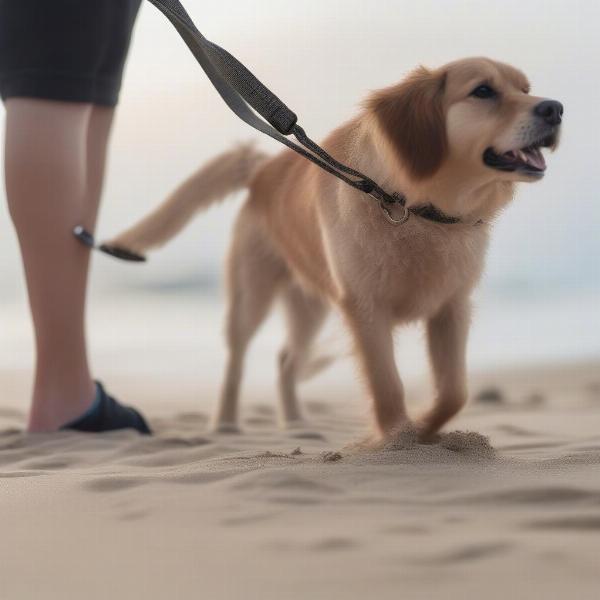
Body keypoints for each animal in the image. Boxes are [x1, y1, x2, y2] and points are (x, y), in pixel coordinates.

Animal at [108, 56, 564, 438]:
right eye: (483, 91)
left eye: (526, 89)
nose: (555, 108)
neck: (412, 204)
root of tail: (262, 170)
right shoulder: (365, 308)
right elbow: (387, 385)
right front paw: (397, 439)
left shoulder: (451, 307)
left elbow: (455, 391)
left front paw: (425, 429)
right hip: (251, 295)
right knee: (236, 362)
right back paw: (225, 424)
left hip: (310, 304)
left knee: (286, 361)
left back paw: (297, 425)